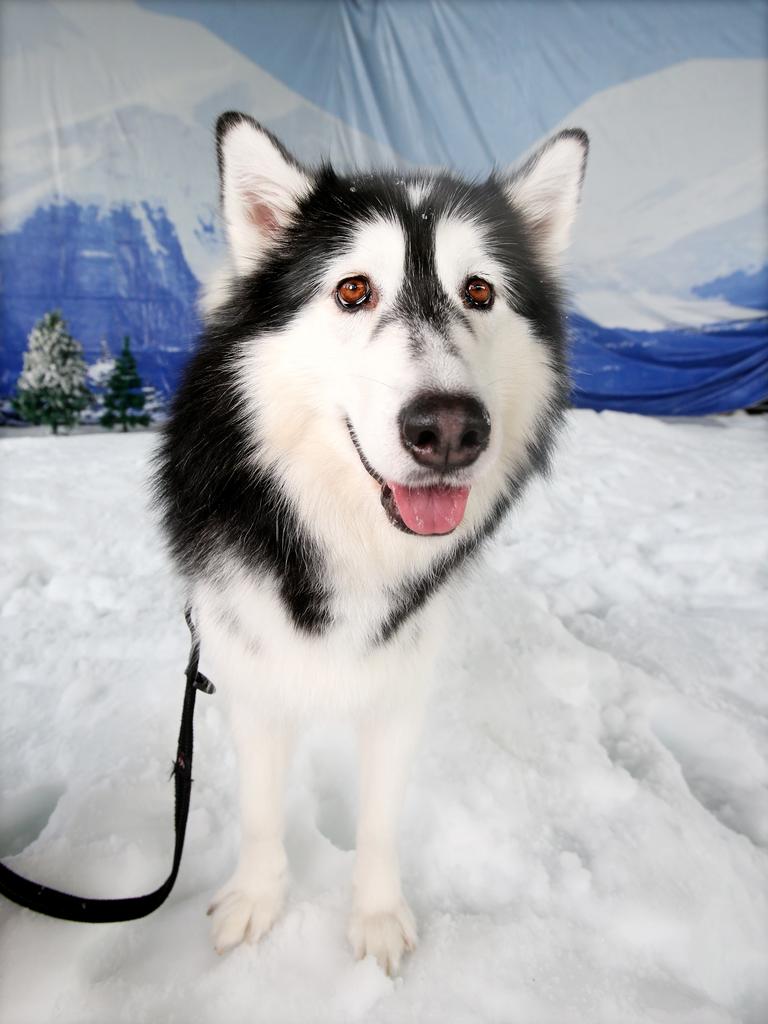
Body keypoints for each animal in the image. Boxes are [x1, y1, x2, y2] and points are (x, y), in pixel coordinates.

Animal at [154, 114, 589, 974]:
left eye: (480, 291)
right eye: (353, 289)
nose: (449, 429)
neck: (348, 537)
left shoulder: (400, 683)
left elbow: (382, 820)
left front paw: (378, 917)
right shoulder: (246, 667)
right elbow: (261, 812)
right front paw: (258, 903)